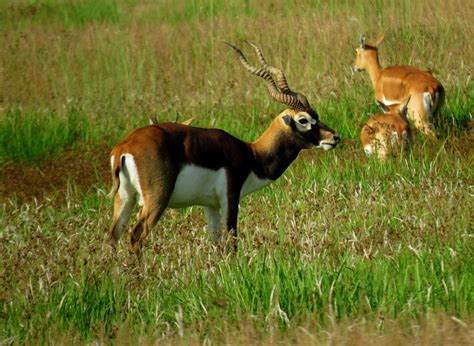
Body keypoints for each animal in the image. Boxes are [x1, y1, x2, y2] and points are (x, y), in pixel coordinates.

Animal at [108, 42, 338, 254]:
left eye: (316, 115)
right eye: (303, 120)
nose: (334, 137)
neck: (252, 154)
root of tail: (124, 147)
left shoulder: (211, 205)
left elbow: (216, 242)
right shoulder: (230, 197)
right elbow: (231, 241)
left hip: (125, 198)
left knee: (113, 236)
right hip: (156, 199)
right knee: (135, 235)